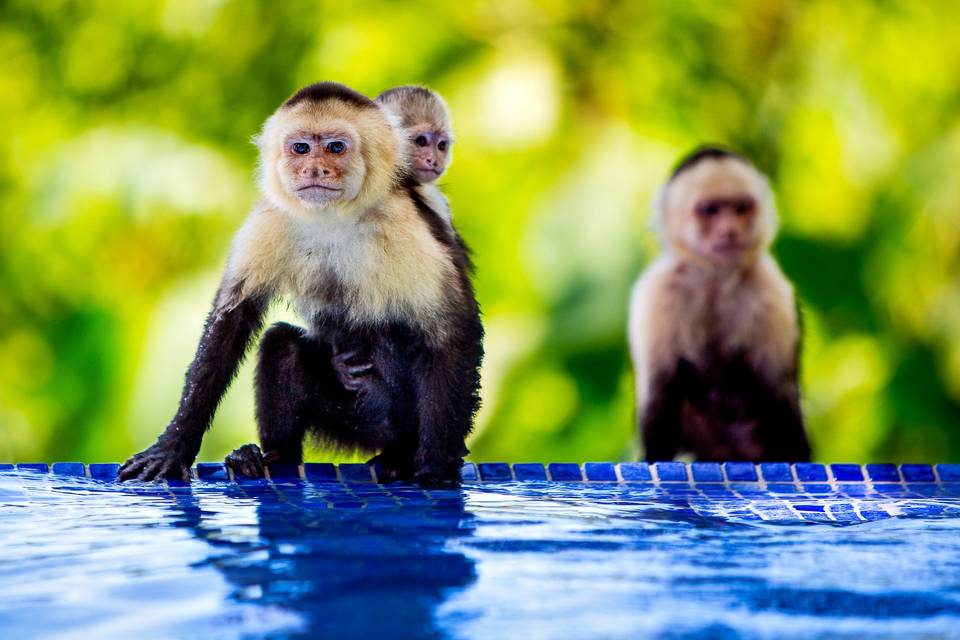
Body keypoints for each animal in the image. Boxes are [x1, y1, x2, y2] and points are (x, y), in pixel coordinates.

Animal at [120, 81, 484, 484]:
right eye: (301, 148)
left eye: (336, 148)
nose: (315, 169)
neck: (334, 217)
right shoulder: (270, 219)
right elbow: (230, 321)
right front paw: (172, 446)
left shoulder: (405, 222)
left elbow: (452, 332)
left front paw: (436, 470)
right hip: (343, 421)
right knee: (281, 344)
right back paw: (272, 456)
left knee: (392, 336)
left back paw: (401, 454)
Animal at [632, 148, 808, 462]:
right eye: (711, 210)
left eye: (740, 209)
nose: (729, 230)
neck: (715, 279)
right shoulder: (655, 294)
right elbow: (658, 397)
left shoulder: (772, 292)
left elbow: (779, 395)